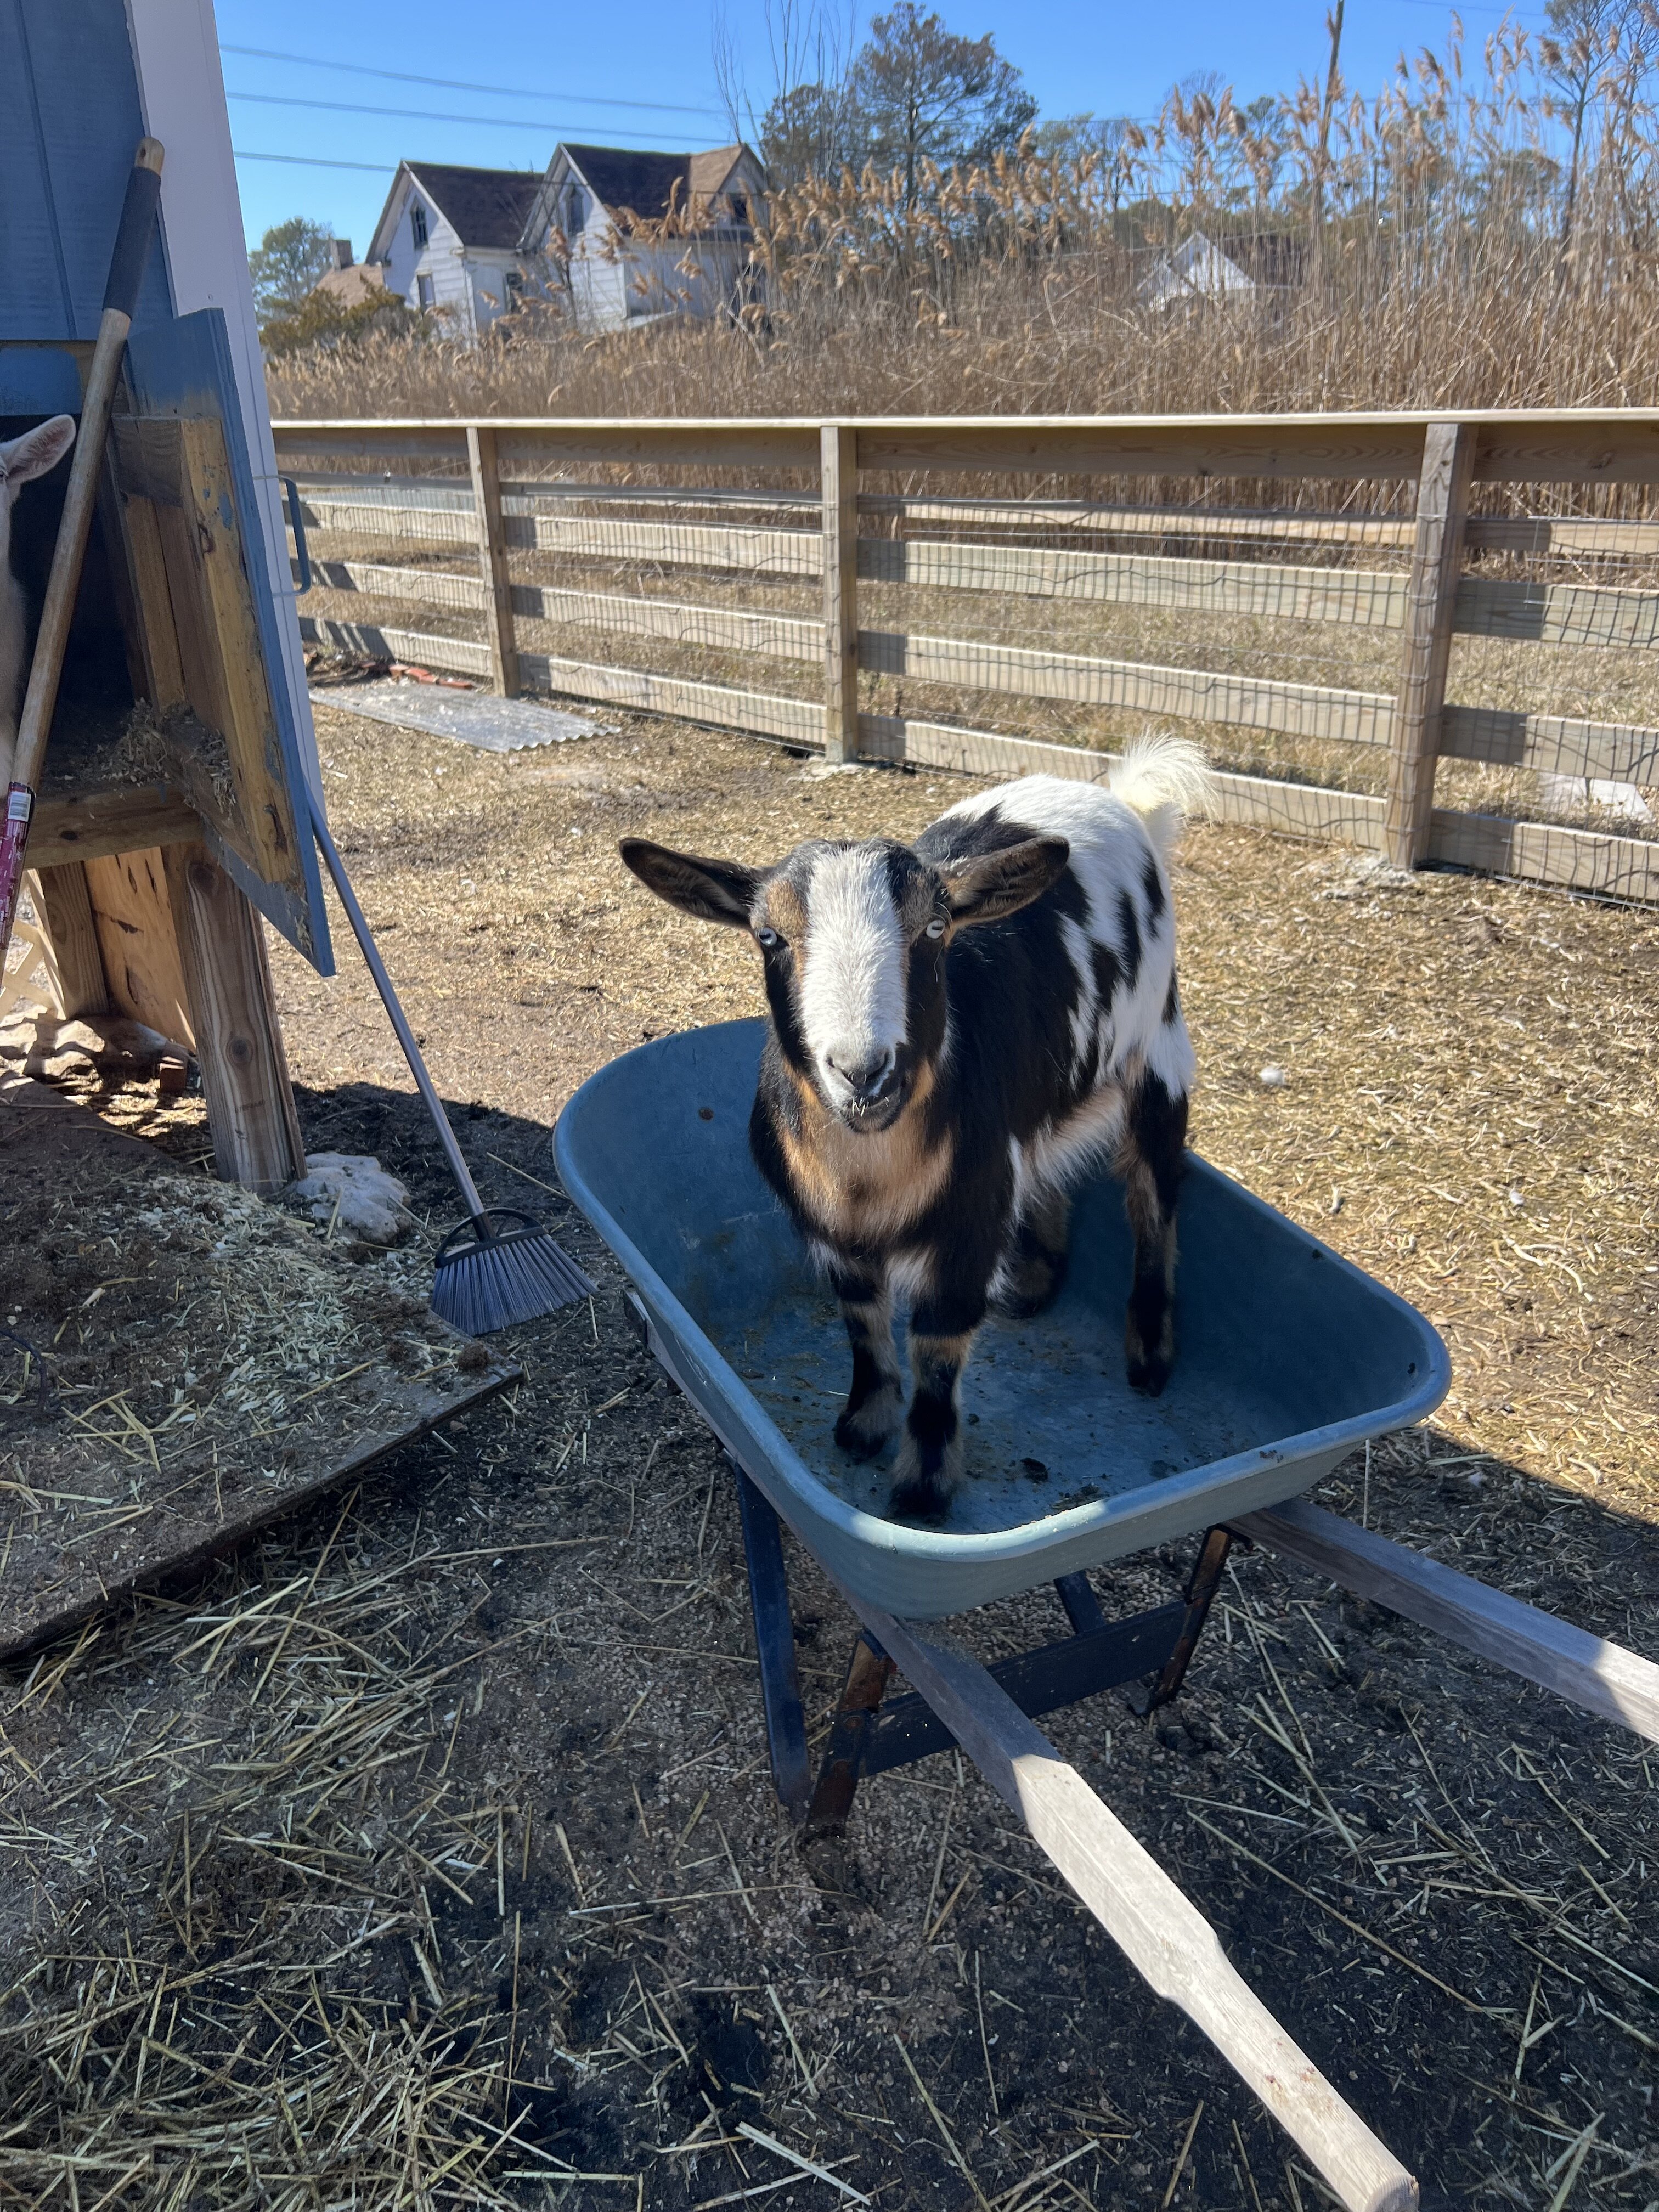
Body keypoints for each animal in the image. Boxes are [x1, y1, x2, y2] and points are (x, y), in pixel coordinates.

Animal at [620, 739, 1212, 1524]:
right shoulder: (836, 1228)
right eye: (768, 936)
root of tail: (1117, 797)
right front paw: (862, 1426)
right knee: (1048, 1159)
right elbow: (865, 1327)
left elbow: (938, 1347)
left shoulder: (967, 1224)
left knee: (1155, 1197)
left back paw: (1149, 1354)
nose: (863, 1073)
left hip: (1161, 1047)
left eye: (935, 929)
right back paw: (1034, 1285)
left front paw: (924, 1487)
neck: (868, 1166)